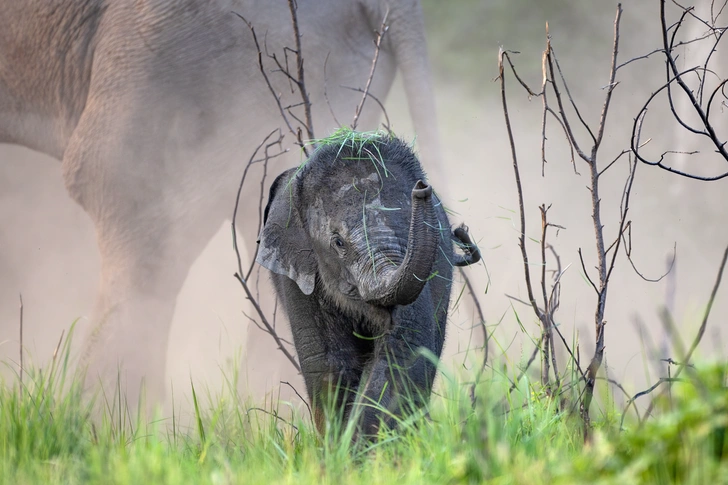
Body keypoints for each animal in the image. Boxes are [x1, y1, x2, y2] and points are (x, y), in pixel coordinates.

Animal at [256, 130, 478, 436]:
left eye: (409, 230)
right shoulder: (298, 279)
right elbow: (329, 364)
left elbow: (401, 352)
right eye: (338, 242)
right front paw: (340, 444)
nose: (421, 189)